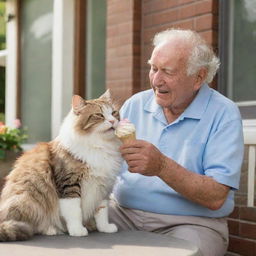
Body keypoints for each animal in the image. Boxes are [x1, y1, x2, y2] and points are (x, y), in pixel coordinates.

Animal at [0, 91, 123, 241]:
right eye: (99, 115)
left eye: (114, 113)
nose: (112, 121)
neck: (100, 146)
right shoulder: (69, 185)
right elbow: (74, 212)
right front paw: (77, 230)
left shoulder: (102, 189)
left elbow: (102, 212)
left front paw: (105, 228)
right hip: (28, 197)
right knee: (30, 225)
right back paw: (51, 229)